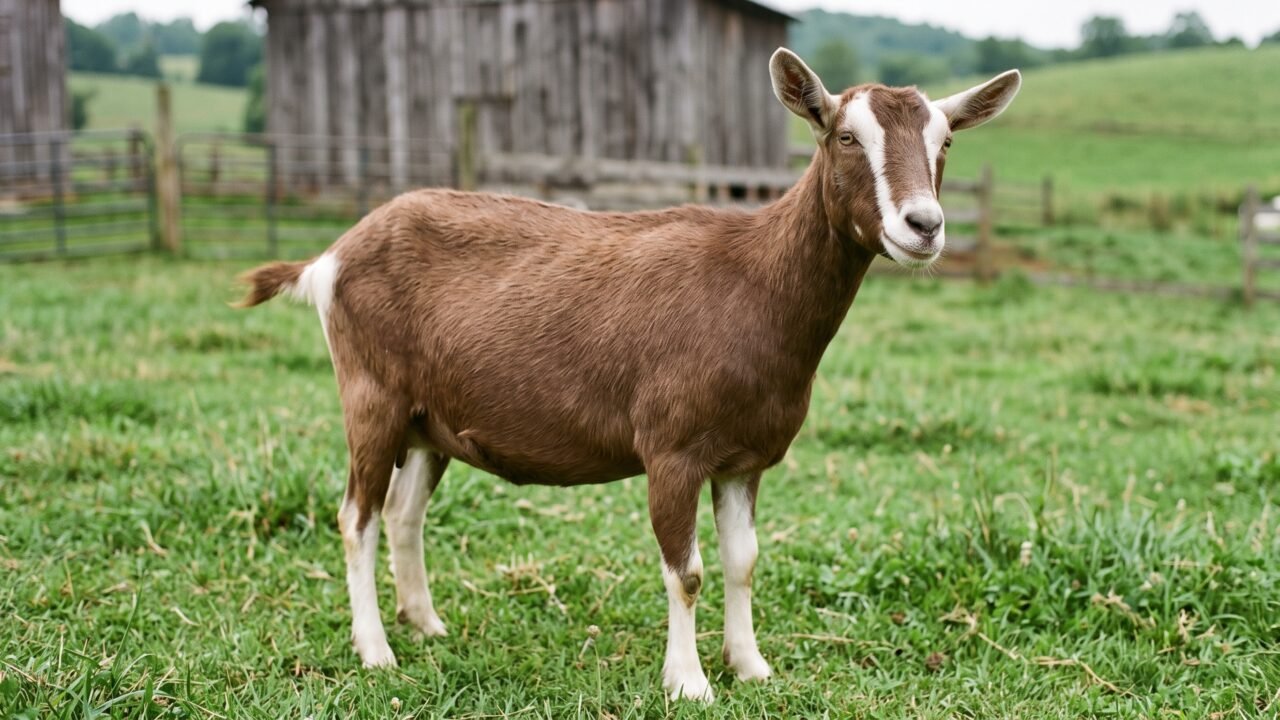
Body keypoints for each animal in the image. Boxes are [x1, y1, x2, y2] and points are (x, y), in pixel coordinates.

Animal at [238, 48, 1021, 701]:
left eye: (946, 141)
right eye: (845, 137)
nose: (924, 225)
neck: (753, 287)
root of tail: (331, 256)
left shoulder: (746, 458)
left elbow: (743, 561)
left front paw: (751, 666)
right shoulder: (672, 449)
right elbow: (688, 570)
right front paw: (690, 683)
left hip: (431, 420)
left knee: (404, 513)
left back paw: (425, 623)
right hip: (371, 394)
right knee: (357, 517)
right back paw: (376, 651)